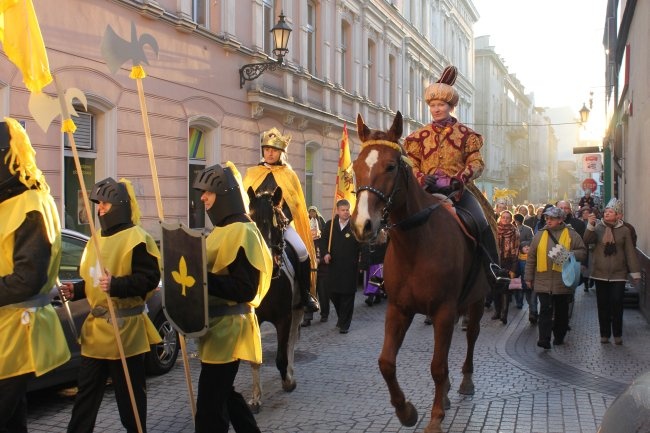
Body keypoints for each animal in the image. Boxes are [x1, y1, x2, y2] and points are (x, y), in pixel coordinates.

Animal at [350, 110, 486, 432]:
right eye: (356, 166)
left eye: (390, 166)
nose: (363, 225)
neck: (416, 244)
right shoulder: (399, 308)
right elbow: (386, 362)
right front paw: (406, 411)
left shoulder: (444, 310)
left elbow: (437, 366)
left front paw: (435, 418)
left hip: (476, 299)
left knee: (472, 335)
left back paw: (465, 381)